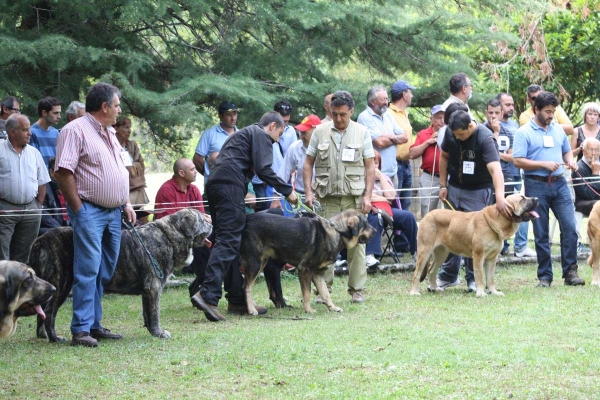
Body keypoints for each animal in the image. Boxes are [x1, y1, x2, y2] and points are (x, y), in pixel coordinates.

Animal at [28, 208, 211, 342]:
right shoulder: (153, 287)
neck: (168, 236)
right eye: (202, 220)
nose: (210, 220)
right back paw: (54, 337)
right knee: (49, 312)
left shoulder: (148, 291)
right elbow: (154, 314)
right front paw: (159, 333)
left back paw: (43, 335)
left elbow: (147, 313)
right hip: (60, 285)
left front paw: (151, 330)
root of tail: (40, 240)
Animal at [239, 209, 376, 316]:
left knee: (247, 285)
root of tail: (246, 220)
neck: (337, 231)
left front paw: (332, 307)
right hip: (255, 263)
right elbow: (307, 293)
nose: (375, 230)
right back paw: (252, 310)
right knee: (247, 286)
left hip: (262, 263)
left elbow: (325, 293)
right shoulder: (304, 270)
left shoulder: (318, 273)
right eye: (366, 223)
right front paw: (308, 310)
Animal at [408, 194, 540, 296]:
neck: (499, 220)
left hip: (442, 253)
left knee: (431, 271)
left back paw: (435, 288)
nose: (537, 198)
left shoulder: (492, 259)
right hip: (424, 252)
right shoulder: (478, 255)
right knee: (416, 273)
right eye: (522, 198)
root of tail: (427, 215)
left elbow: (490, 278)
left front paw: (493, 292)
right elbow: (479, 276)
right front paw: (481, 293)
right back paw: (414, 292)